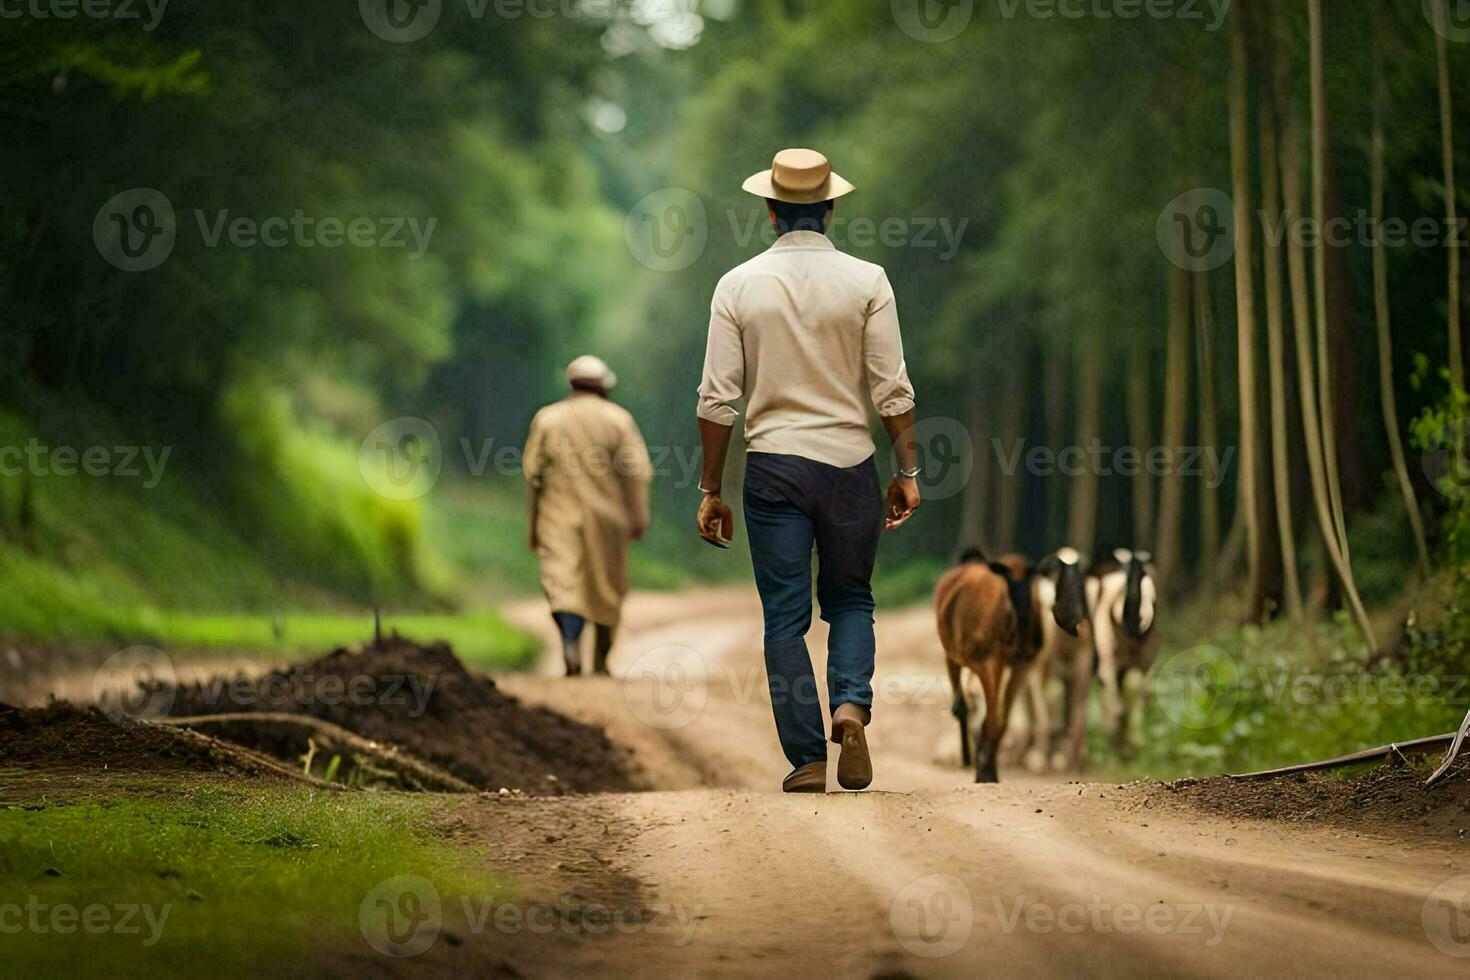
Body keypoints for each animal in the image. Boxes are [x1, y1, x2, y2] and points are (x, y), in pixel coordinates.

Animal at [934, 549, 1087, 787]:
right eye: (1008, 582)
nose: (1072, 621)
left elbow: (1001, 719)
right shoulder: (990, 661)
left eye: (1031, 580)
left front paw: (988, 769)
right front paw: (985, 771)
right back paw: (969, 758)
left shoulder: (1023, 665)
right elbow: (992, 717)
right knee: (962, 707)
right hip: (953, 657)